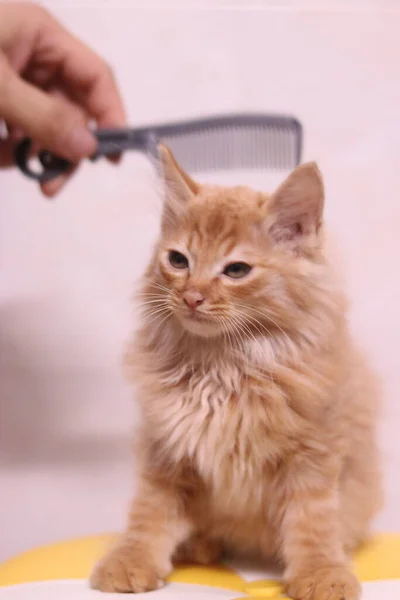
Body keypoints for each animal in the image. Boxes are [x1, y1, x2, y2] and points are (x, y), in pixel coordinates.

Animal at [90, 146, 382, 600]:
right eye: (178, 260)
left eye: (236, 270)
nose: (192, 296)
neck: (223, 366)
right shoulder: (166, 449)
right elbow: (150, 510)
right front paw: (131, 558)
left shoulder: (313, 453)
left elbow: (313, 520)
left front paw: (320, 572)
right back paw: (199, 545)